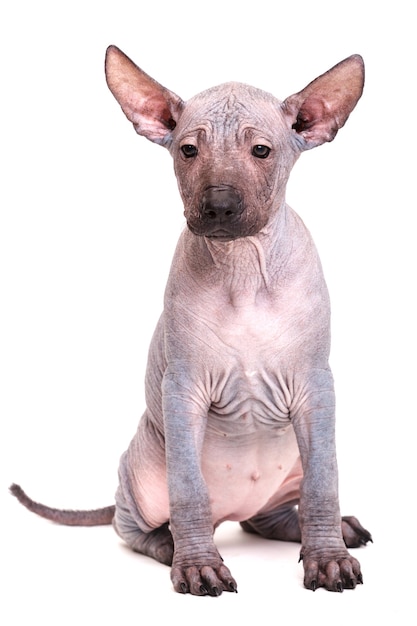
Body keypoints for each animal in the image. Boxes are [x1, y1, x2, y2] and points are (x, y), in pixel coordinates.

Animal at [11, 46, 372, 592]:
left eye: (262, 151)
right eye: (187, 151)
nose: (219, 205)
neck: (243, 269)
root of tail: (235, 510)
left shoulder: (316, 387)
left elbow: (323, 485)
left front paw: (328, 557)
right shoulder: (183, 390)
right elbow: (188, 492)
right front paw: (199, 565)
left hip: (287, 464)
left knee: (272, 516)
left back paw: (329, 529)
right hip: (142, 469)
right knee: (132, 525)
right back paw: (169, 545)